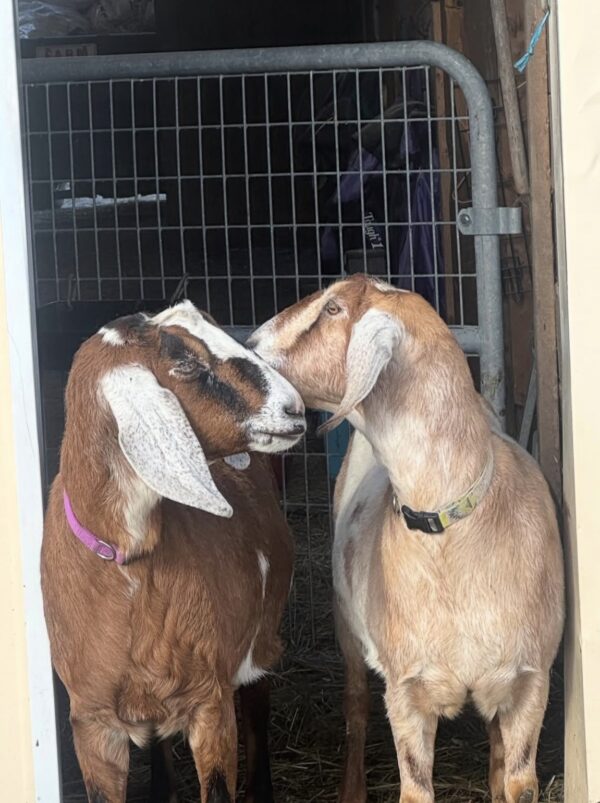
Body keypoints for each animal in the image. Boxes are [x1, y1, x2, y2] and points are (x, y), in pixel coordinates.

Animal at [41, 300, 306, 803]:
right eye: (185, 363)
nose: (294, 409)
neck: (130, 567)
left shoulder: (210, 703)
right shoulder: (92, 723)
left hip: (260, 637)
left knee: (257, 703)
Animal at [249, 274, 564, 803]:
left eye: (333, 308)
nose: (249, 343)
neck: (453, 533)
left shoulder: (530, 681)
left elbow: (517, 779)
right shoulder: (406, 691)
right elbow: (415, 788)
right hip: (346, 624)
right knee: (356, 706)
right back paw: (352, 788)